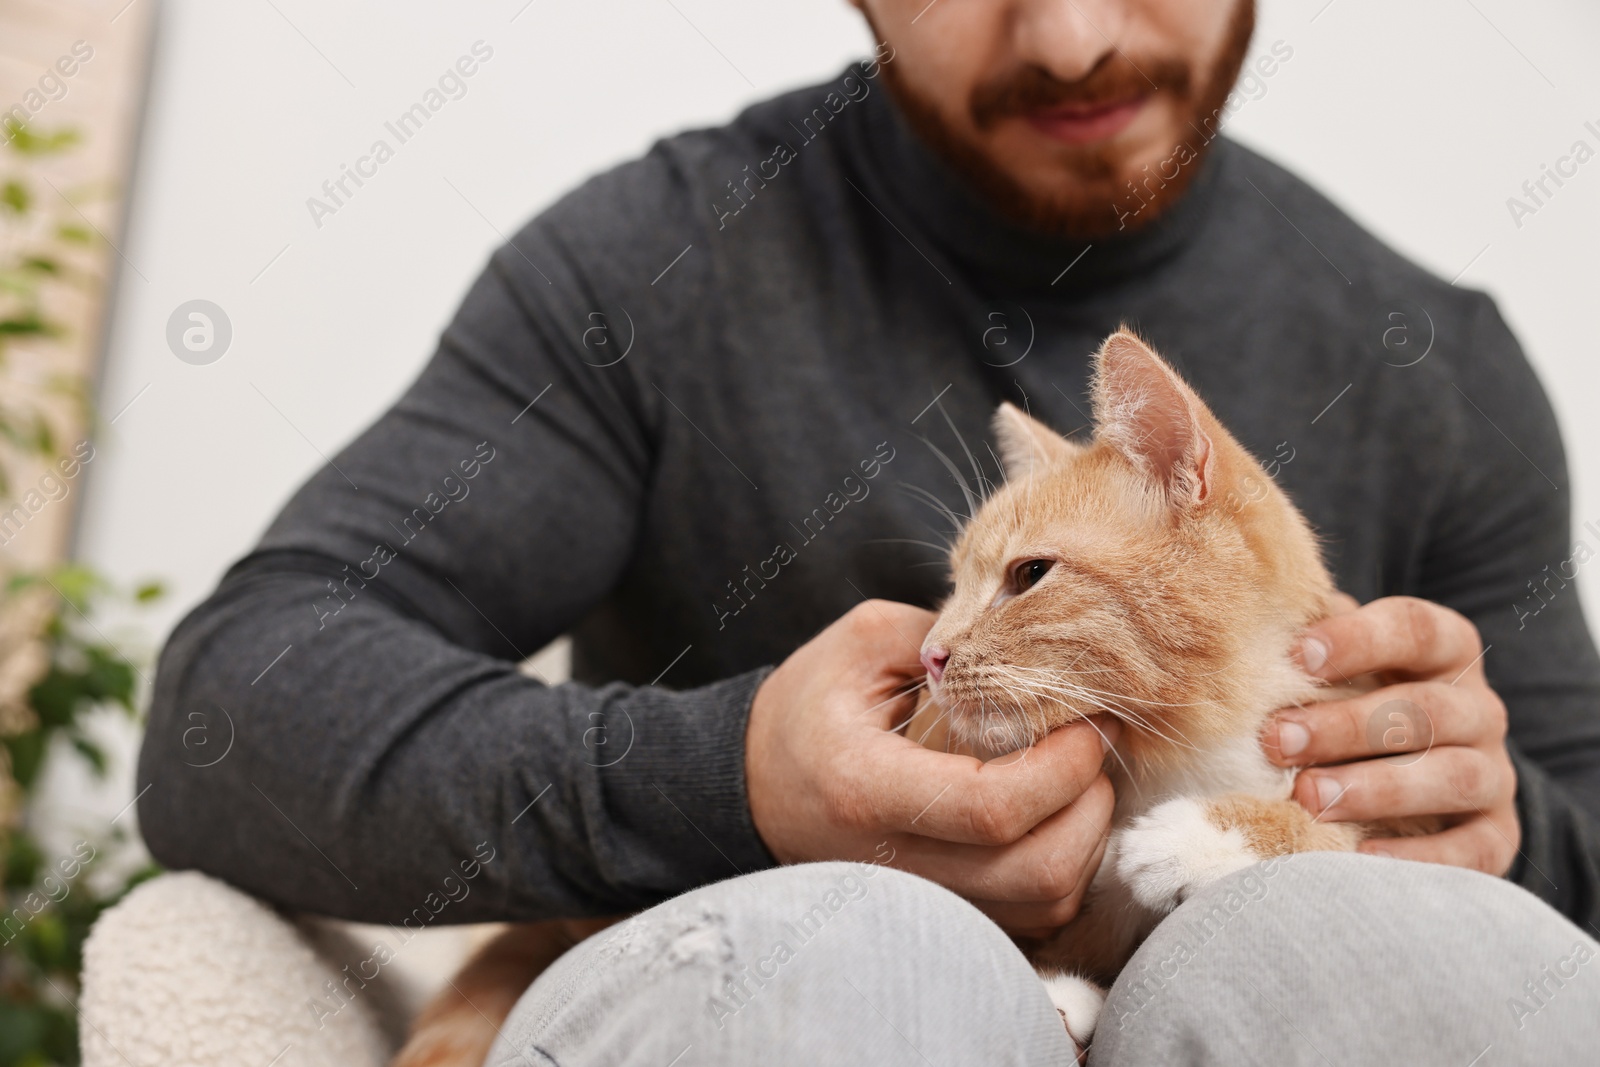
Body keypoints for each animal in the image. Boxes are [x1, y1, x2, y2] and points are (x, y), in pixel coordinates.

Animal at [403, 329, 1414, 1062]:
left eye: (1029, 575)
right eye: (952, 585)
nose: (929, 656)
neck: (1182, 753)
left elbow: (1357, 838)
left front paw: (1209, 833)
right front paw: (1065, 987)